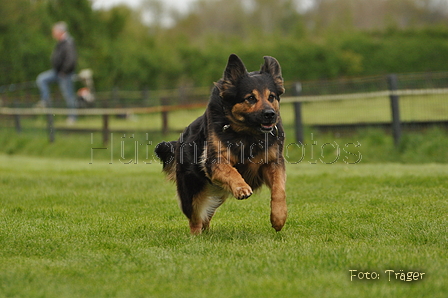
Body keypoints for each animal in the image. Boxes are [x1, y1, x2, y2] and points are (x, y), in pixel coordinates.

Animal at [155, 54, 288, 235]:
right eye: (250, 98)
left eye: (271, 97)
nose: (270, 114)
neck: (247, 133)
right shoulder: (213, 161)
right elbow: (230, 170)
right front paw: (241, 187)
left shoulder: (273, 162)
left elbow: (279, 189)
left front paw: (279, 218)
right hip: (190, 192)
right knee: (195, 217)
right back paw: (196, 235)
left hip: (216, 196)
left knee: (205, 216)